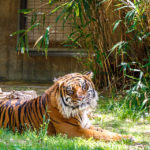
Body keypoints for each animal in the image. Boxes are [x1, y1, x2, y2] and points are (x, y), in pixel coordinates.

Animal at [0, 72, 132, 141]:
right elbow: (99, 135)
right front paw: (128, 138)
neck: (80, 112)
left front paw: (127, 136)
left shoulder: (86, 125)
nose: (81, 98)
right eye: (70, 90)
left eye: (84, 86)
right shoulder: (73, 131)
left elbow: (106, 131)